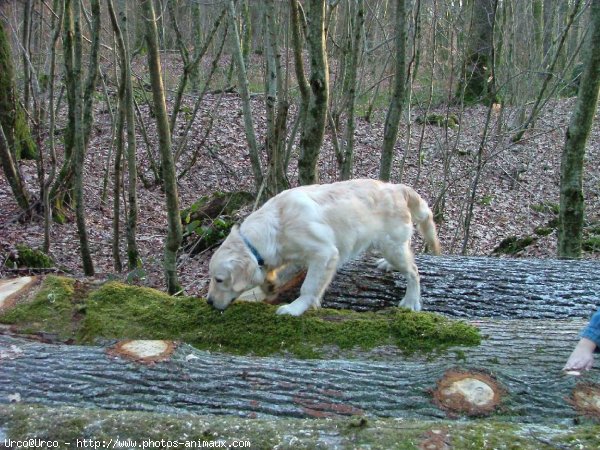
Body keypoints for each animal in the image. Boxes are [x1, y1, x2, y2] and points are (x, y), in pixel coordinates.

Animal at [207, 179, 440, 316]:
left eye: (219, 279)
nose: (208, 302)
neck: (276, 226)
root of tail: (397, 187)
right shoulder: (295, 258)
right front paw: (269, 286)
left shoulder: (325, 253)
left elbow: (308, 287)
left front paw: (295, 308)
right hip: (392, 246)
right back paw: (387, 265)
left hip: (391, 245)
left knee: (414, 271)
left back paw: (411, 301)